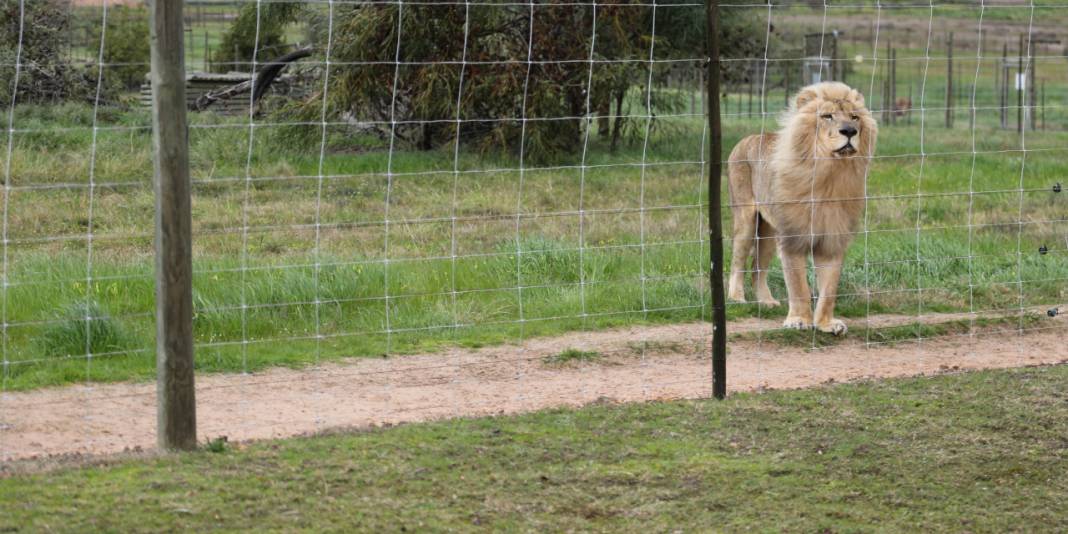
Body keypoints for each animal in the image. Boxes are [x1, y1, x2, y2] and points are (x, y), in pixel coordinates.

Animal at [726, 81, 875, 333]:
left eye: (854, 117)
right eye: (827, 116)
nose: (849, 131)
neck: (829, 176)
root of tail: (750, 136)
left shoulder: (832, 239)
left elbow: (829, 289)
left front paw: (826, 324)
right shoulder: (792, 238)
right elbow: (798, 286)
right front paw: (799, 320)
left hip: (768, 232)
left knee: (757, 267)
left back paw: (766, 301)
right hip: (746, 219)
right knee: (738, 261)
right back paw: (736, 297)